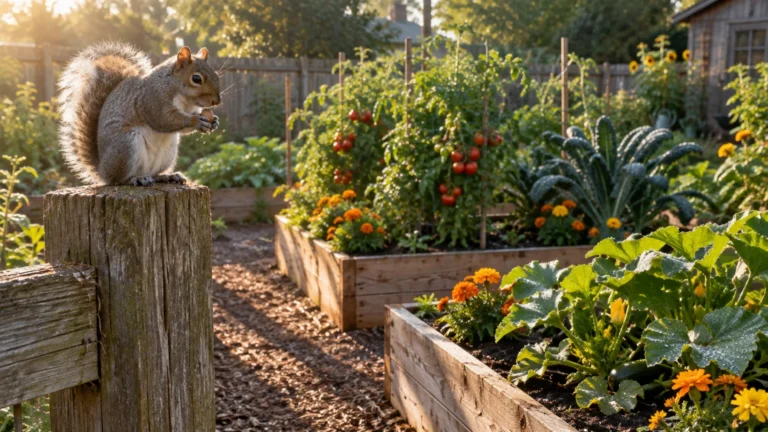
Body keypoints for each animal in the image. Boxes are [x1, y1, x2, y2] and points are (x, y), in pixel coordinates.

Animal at [58, 42, 222, 186]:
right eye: (196, 78)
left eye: (216, 75)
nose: (217, 101)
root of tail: (102, 170)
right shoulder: (153, 100)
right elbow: (165, 120)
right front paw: (196, 121)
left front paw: (214, 122)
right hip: (126, 145)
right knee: (118, 180)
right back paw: (136, 179)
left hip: (167, 153)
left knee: (153, 174)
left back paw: (168, 176)